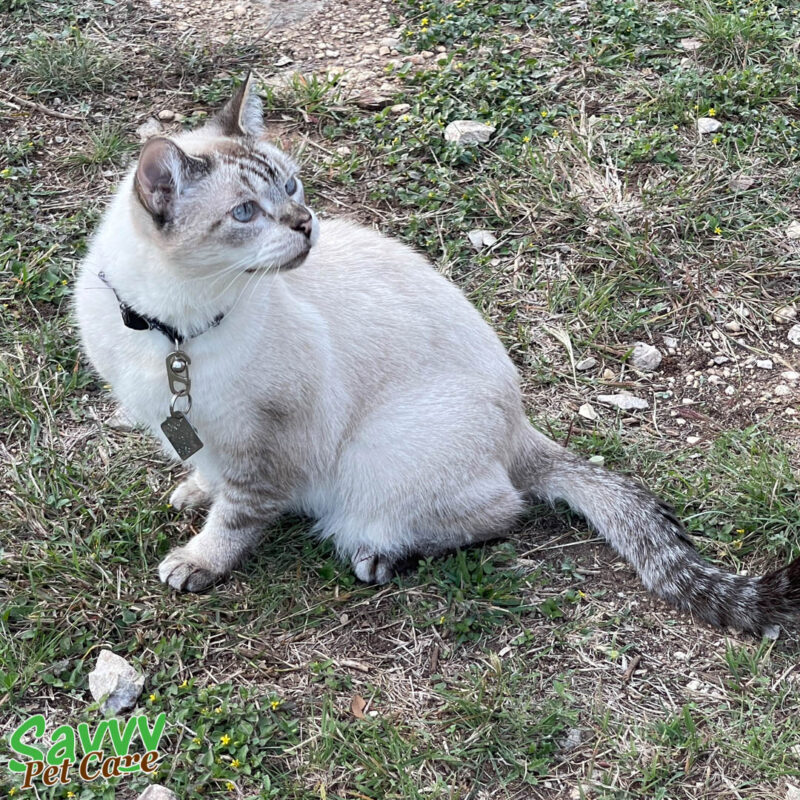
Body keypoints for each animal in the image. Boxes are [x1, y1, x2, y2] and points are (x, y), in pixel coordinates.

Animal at [72, 75, 796, 636]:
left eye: (293, 187)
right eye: (247, 212)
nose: (305, 226)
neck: (170, 331)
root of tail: (519, 423)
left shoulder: (265, 439)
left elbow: (237, 514)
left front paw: (199, 560)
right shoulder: (194, 426)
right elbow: (205, 470)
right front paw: (193, 491)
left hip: (374, 459)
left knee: (500, 510)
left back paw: (381, 556)